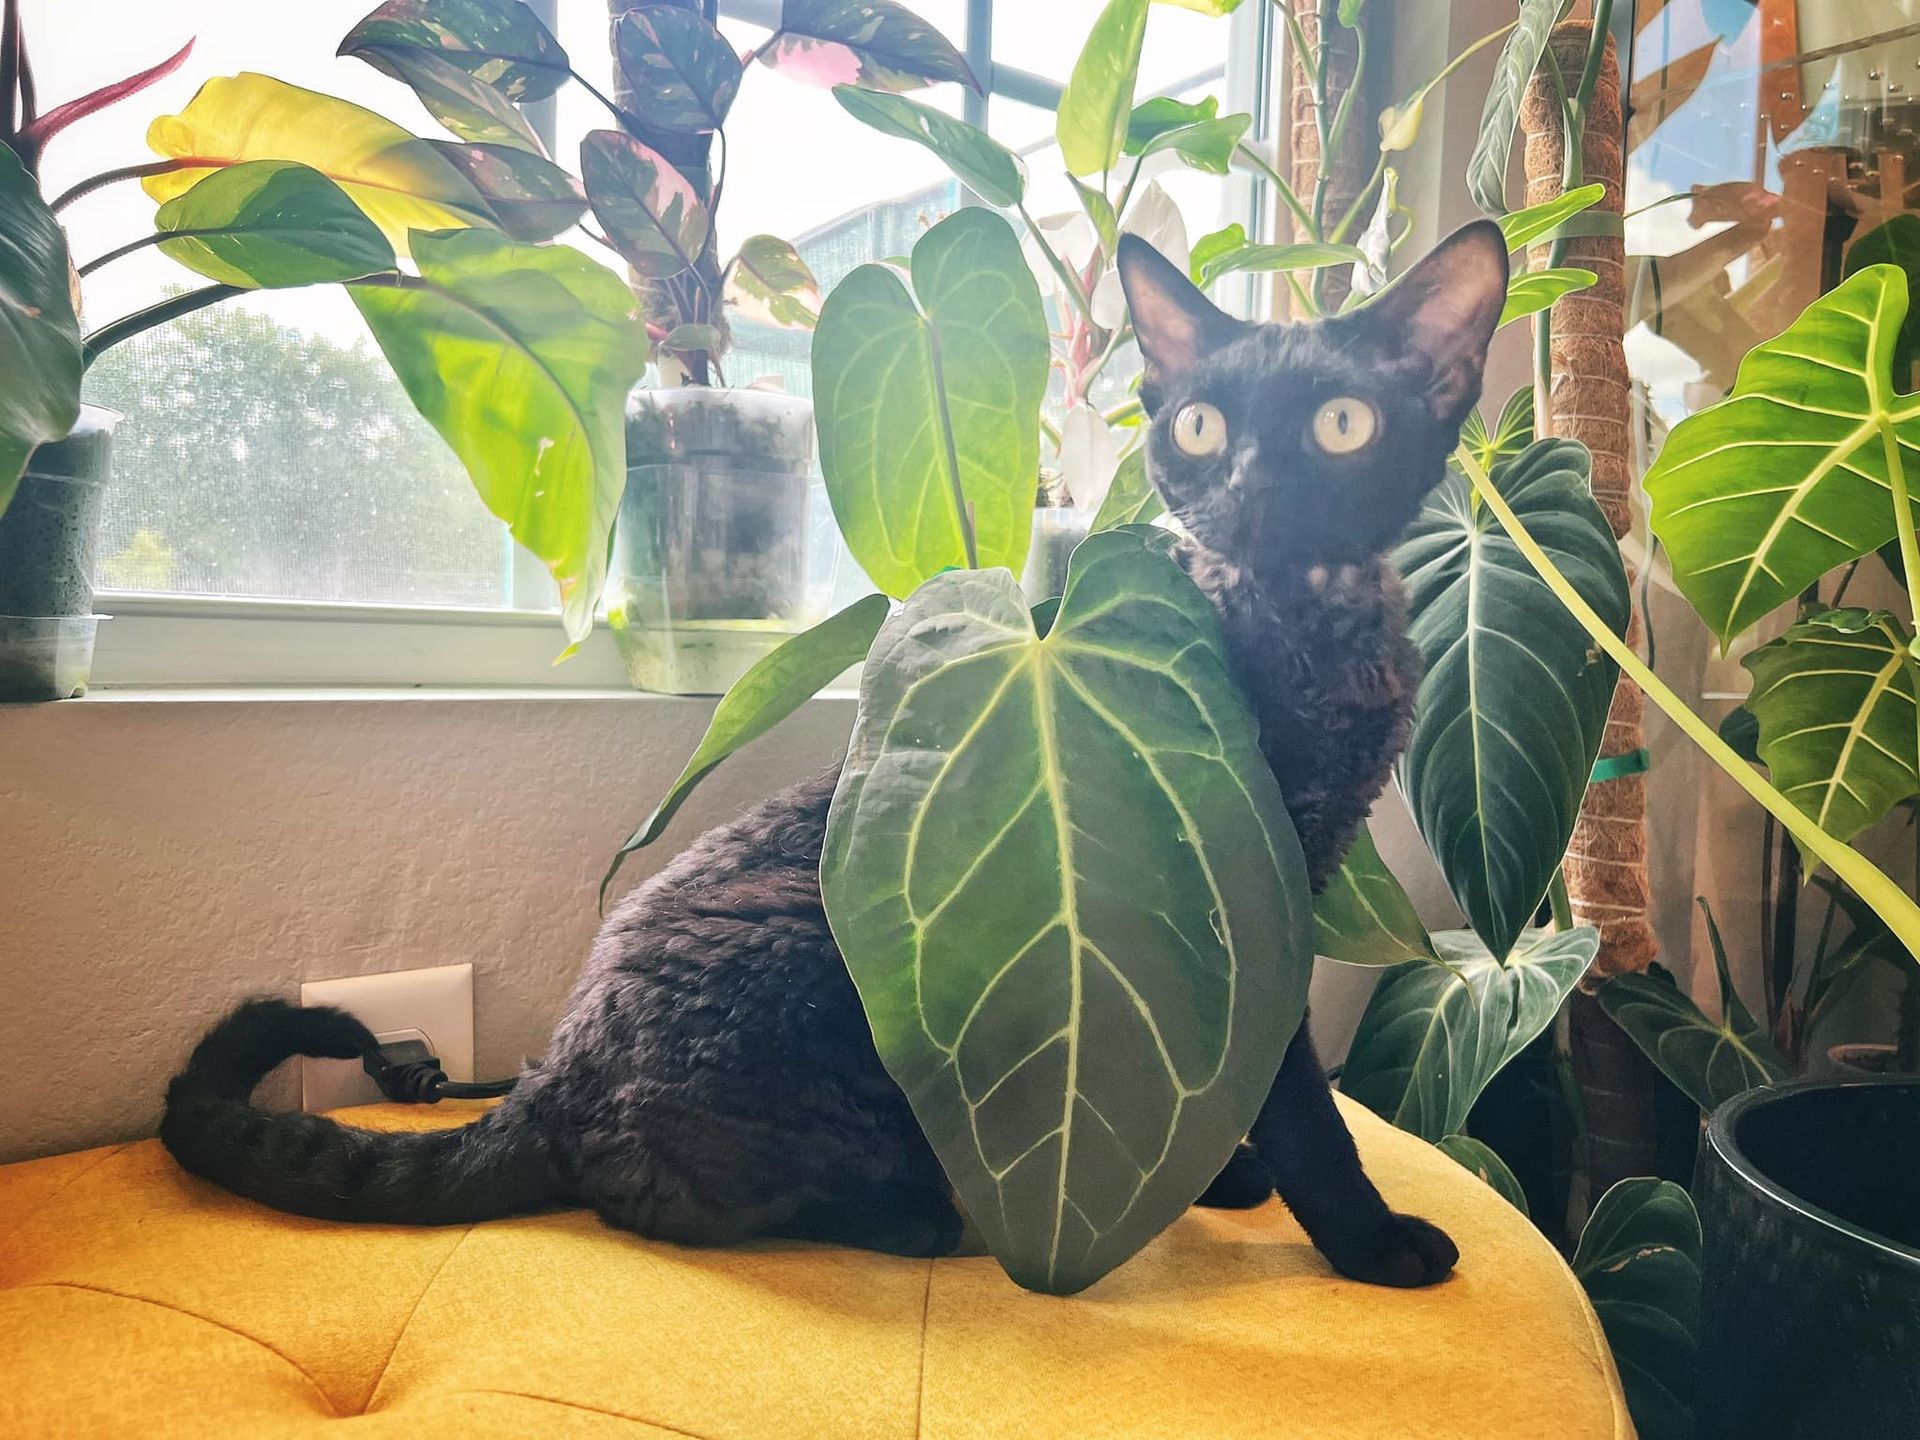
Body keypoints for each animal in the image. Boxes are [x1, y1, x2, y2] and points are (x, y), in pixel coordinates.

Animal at [161, 220, 1510, 1289]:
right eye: (1199, 422)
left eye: (1342, 424)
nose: (1250, 485)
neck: (1308, 625)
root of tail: (549, 1071)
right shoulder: (1242, 894)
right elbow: (1300, 1104)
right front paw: (1367, 1238)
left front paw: (1211, 1174)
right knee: (664, 1198)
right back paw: (915, 1212)